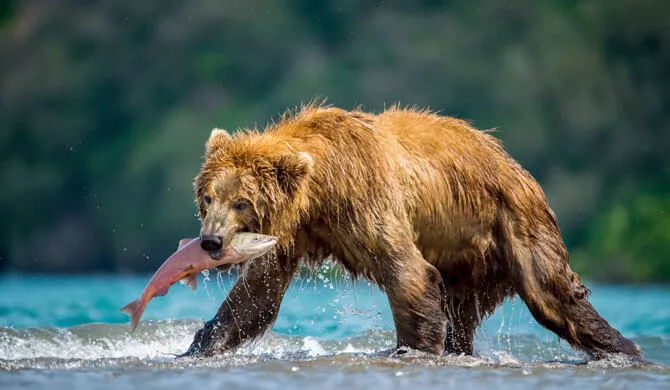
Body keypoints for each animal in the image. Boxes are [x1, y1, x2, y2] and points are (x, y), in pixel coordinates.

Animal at [181, 103, 644, 360]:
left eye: (241, 202)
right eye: (208, 197)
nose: (211, 241)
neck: (320, 191)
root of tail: (516, 166)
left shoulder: (365, 198)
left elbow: (407, 273)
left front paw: (413, 349)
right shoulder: (291, 233)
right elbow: (255, 298)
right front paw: (196, 348)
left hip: (512, 221)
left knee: (553, 294)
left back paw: (625, 350)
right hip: (467, 261)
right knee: (462, 314)